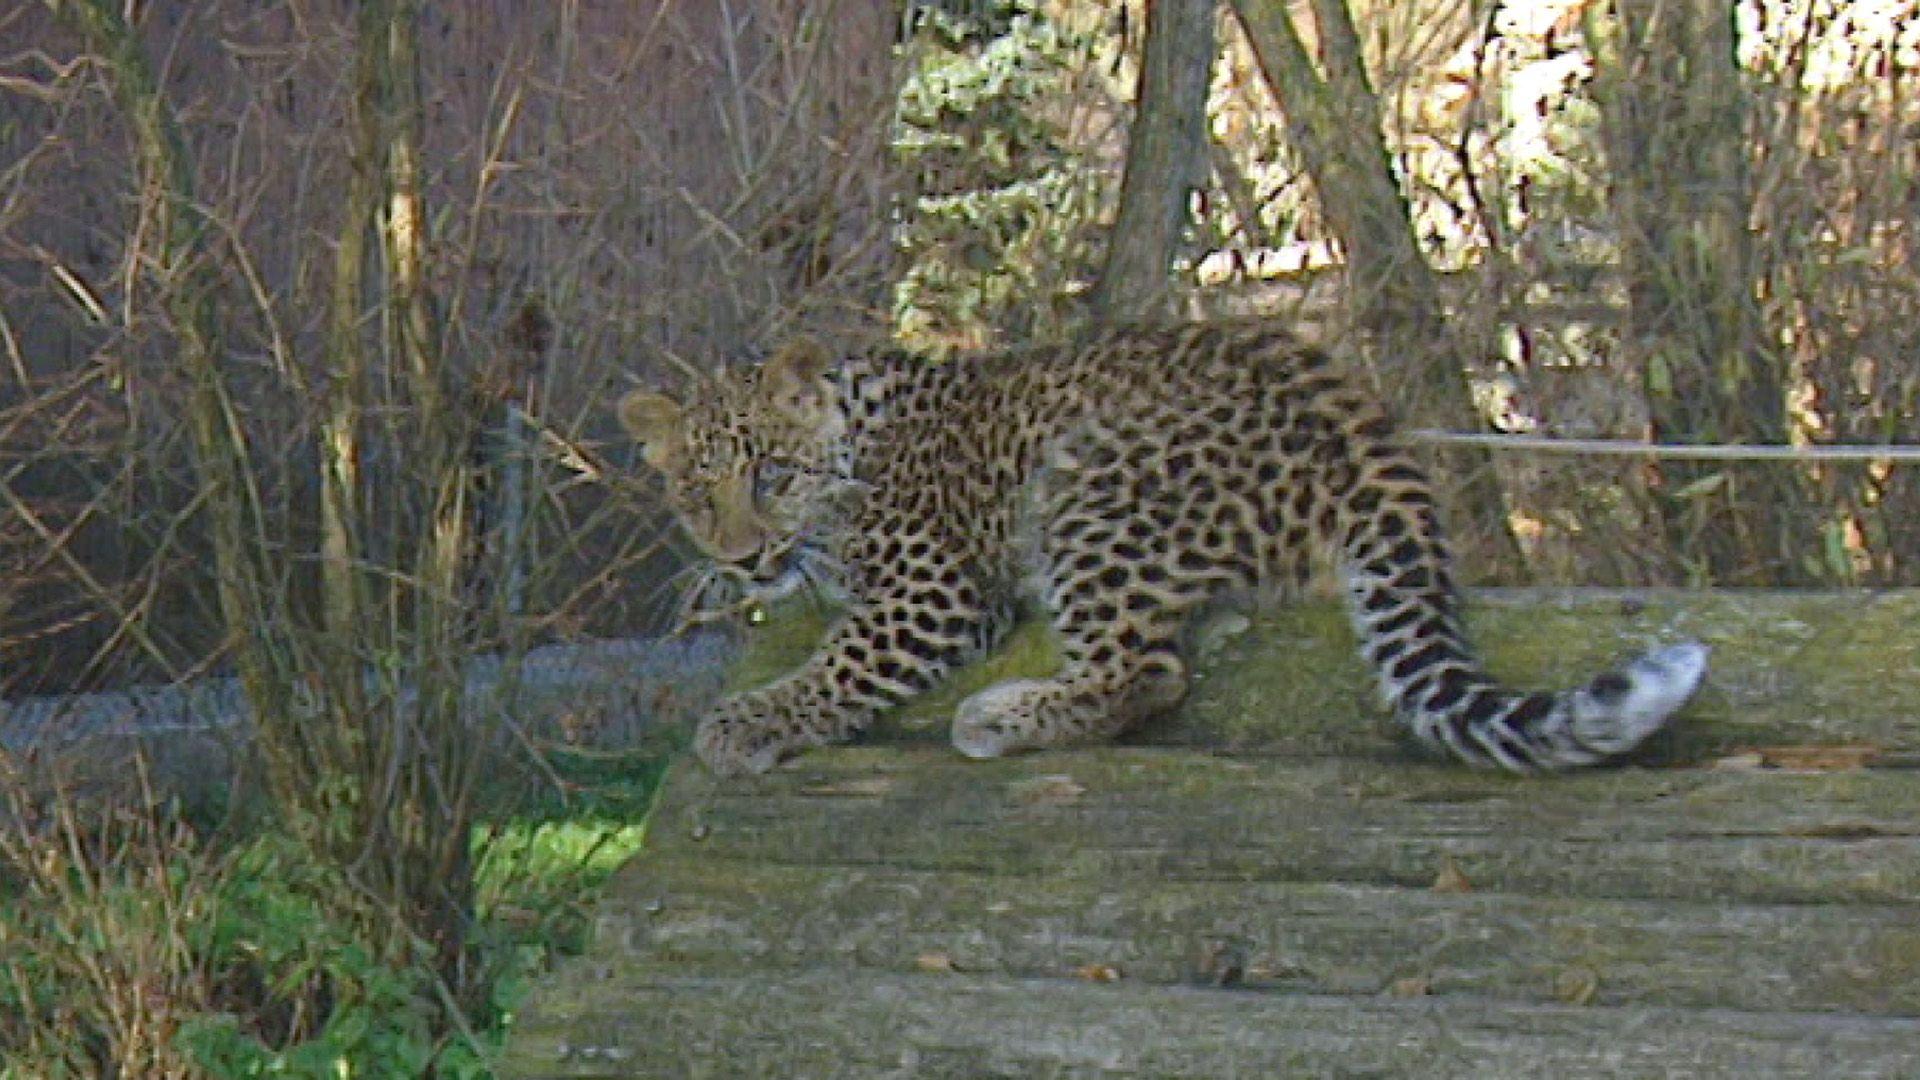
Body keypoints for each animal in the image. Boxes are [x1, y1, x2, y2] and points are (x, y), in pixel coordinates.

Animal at [619, 321, 1708, 777]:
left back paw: (1003, 716)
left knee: (1144, 673)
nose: (745, 558)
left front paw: (746, 721)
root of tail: (1362, 425)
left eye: (771, 474)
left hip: (1087, 479)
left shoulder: (938, 589)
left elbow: (838, 664)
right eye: (696, 493)